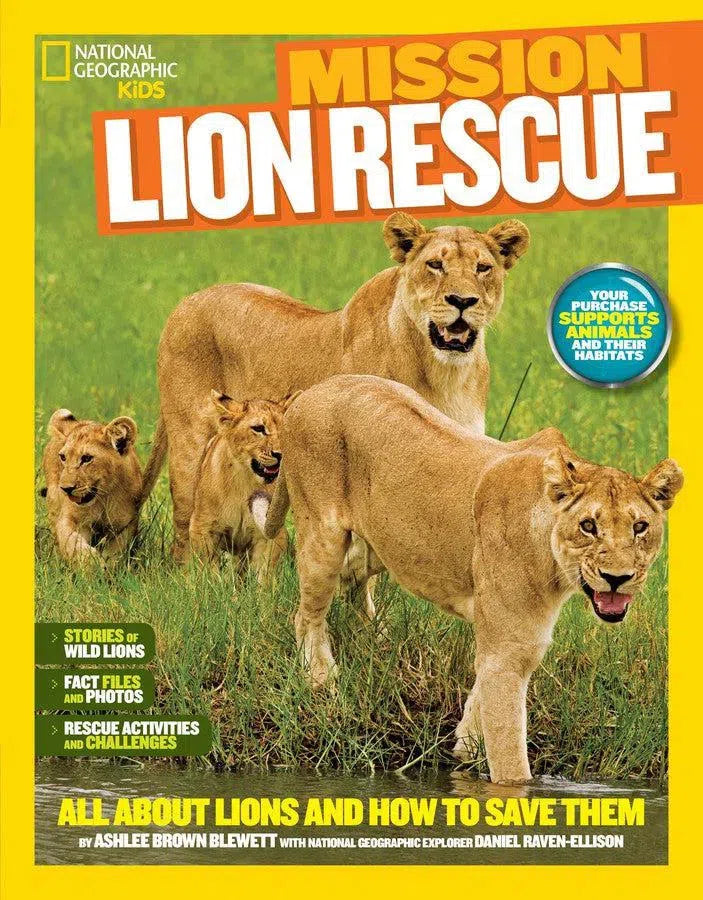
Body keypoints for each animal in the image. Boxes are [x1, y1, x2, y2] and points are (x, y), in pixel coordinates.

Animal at [42, 409, 142, 564]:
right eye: (63, 457)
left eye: (87, 458)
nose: (65, 489)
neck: (103, 498)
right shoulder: (70, 519)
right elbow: (74, 544)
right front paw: (93, 564)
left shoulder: (125, 525)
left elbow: (116, 552)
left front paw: (108, 567)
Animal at [187, 391, 292, 583]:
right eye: (258, 428)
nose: (280, 454)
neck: (245, 481)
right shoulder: (202, 528)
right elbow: (209, 572)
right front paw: (216, 589)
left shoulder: (270, 533)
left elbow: (264, 573)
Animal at [251, 375, 682, 784]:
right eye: (588, 526)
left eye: (640, 527)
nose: (617, 578)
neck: (556, 569)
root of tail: (311, 391)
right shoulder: (510, 649)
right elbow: (509, 751)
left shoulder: (517, 642)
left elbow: (483, 701)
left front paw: (465, 744)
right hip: (323, 535)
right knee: (306, 614)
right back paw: (322, 679)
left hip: (378, 545)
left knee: (352, 582)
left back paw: (375, 638)